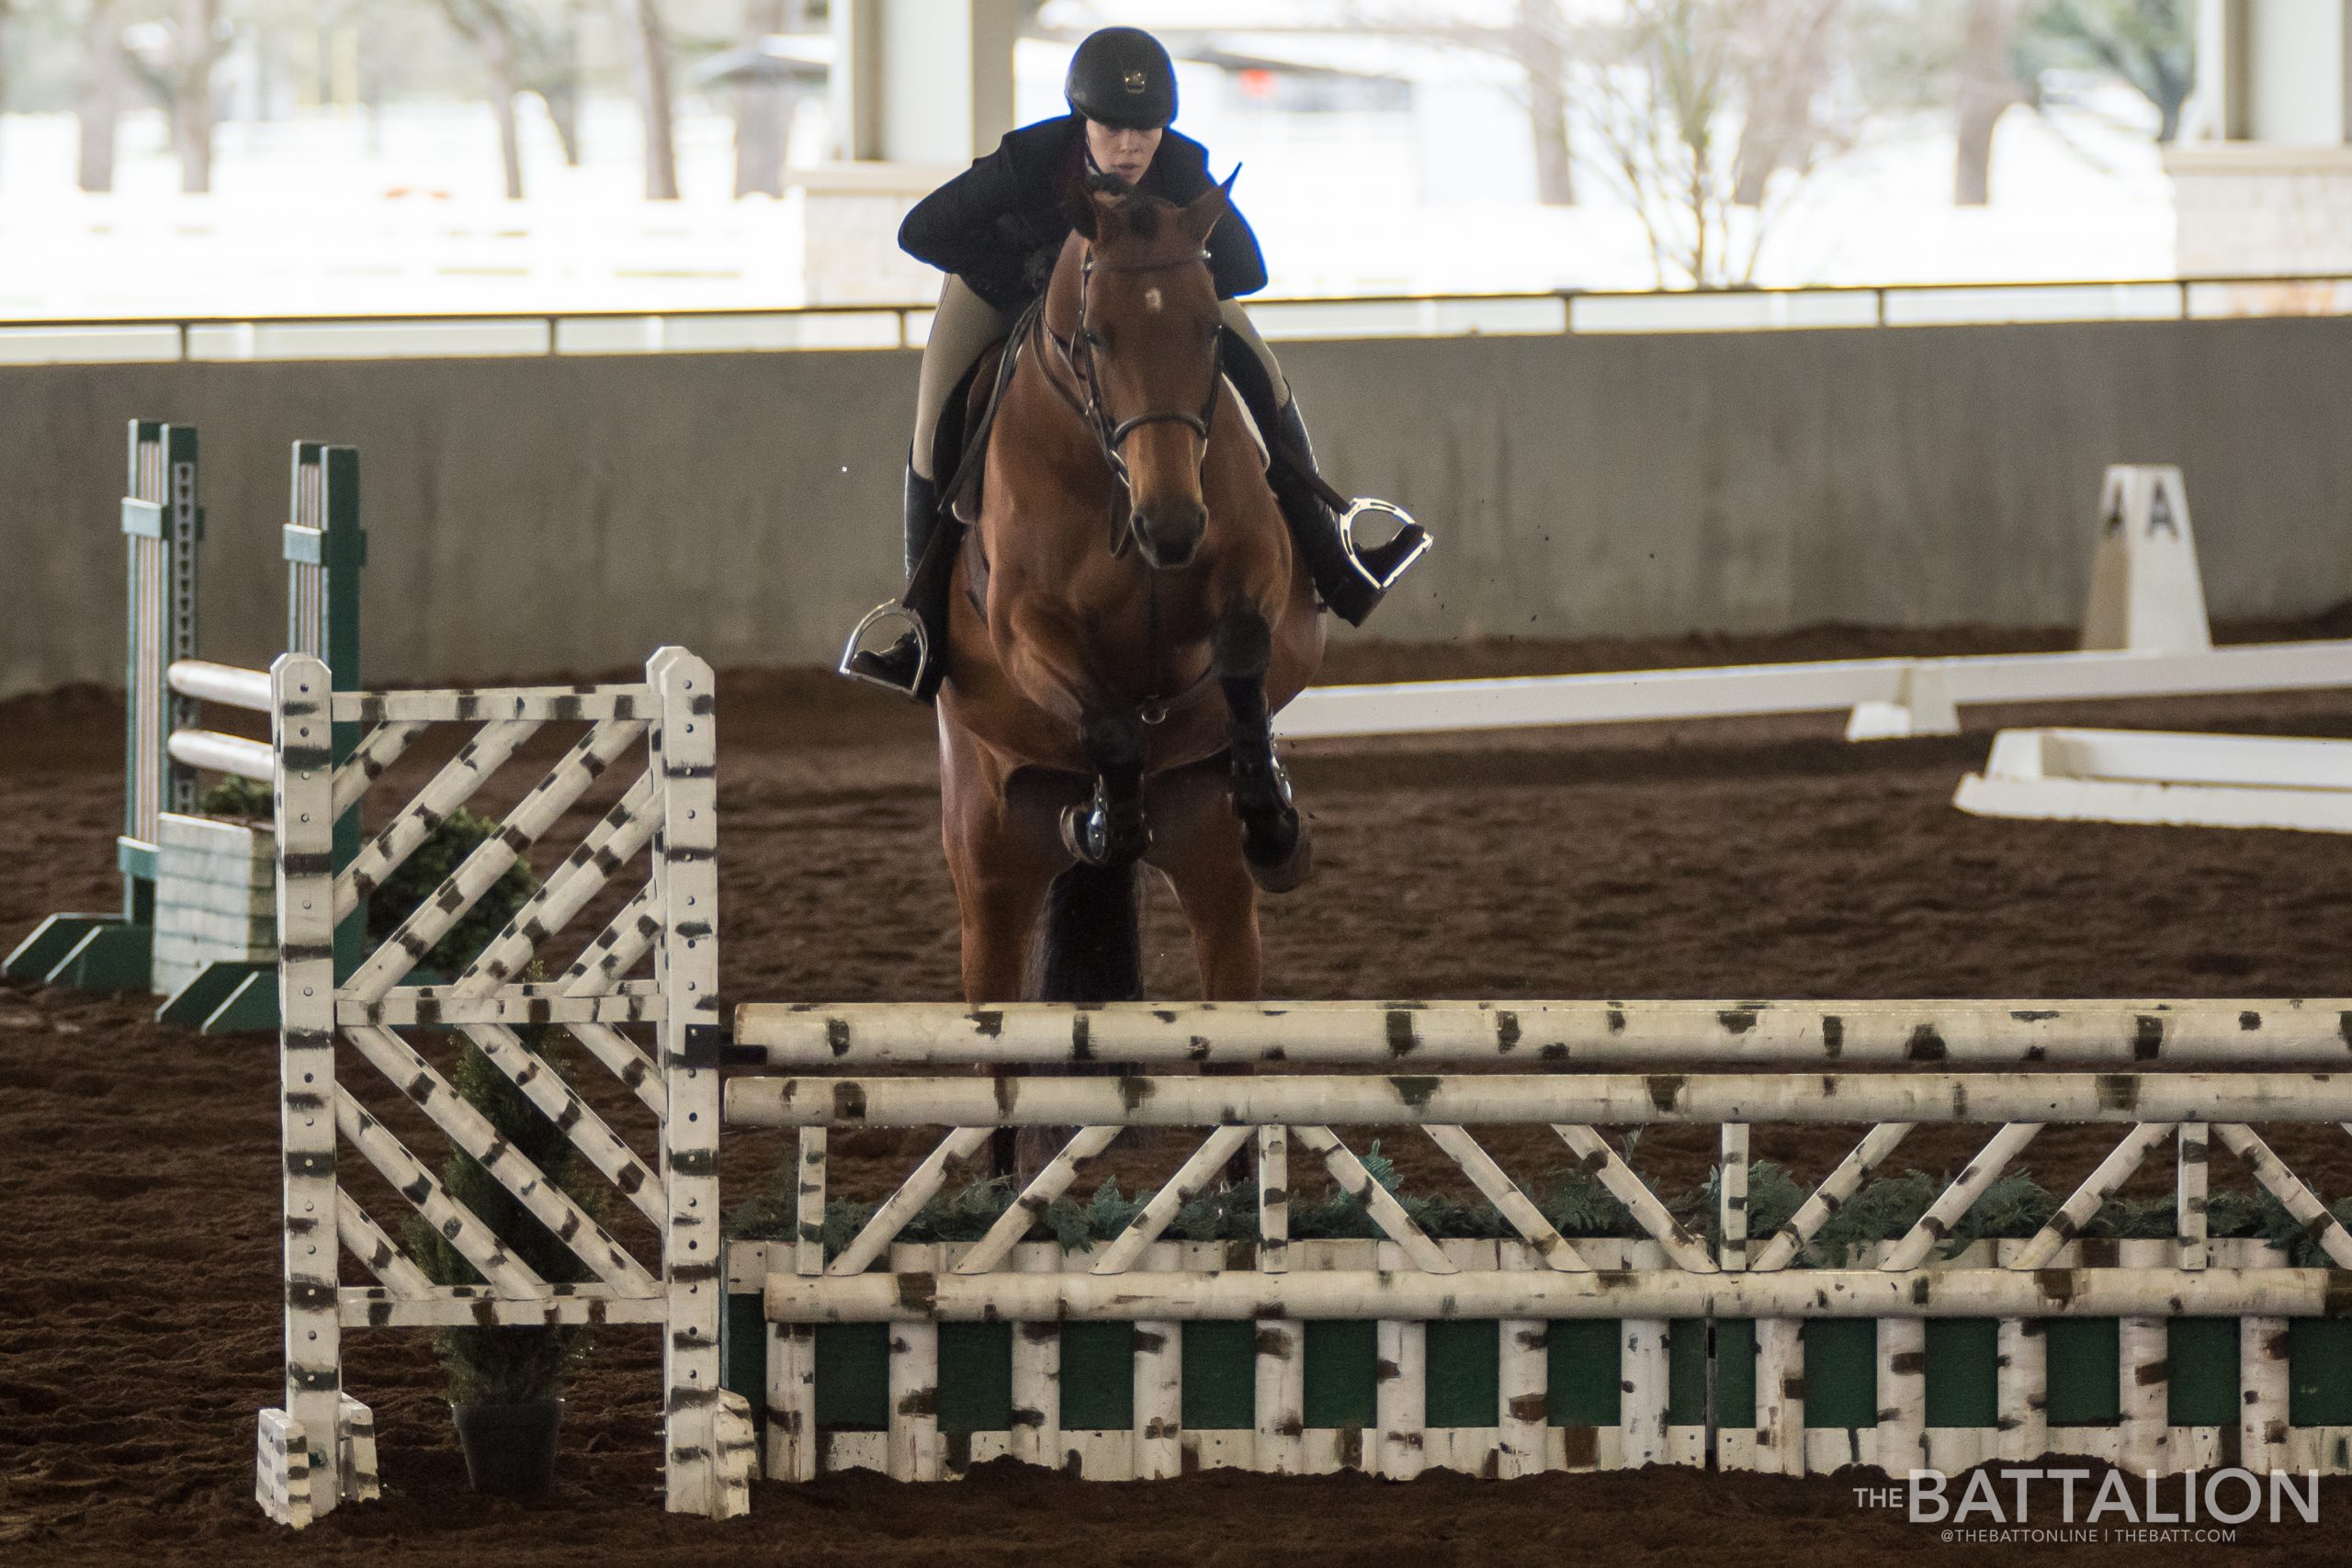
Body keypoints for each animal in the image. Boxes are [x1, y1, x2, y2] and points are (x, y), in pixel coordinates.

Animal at [931, 177, 1326, 1170]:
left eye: (1210, 330)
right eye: (1096, 337)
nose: (1170, 524)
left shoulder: (1259, 575)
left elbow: (1241, 654)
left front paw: (1272, 813)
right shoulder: (1024, 625)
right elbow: (1105, 718)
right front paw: (1107, 822)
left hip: (1214, 879)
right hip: (988, 877)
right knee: (994, 1065)